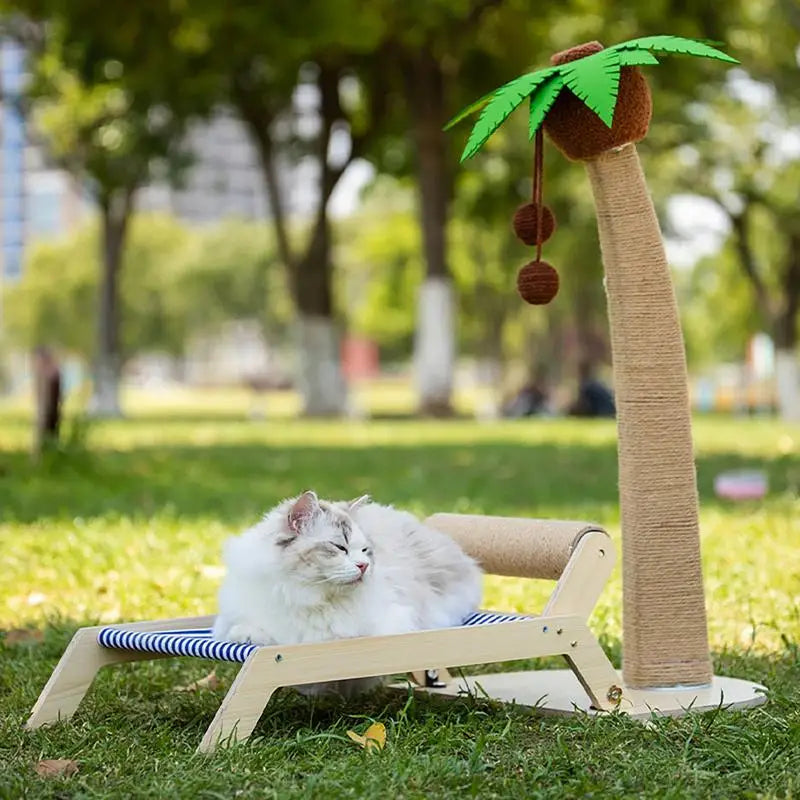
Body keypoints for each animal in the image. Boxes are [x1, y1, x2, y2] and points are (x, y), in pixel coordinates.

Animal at [212, 488, 482, 692]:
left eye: (364, 550)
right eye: (339, 547)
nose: (364, 566)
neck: (299, 592)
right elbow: (247, 631)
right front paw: (246, 636)